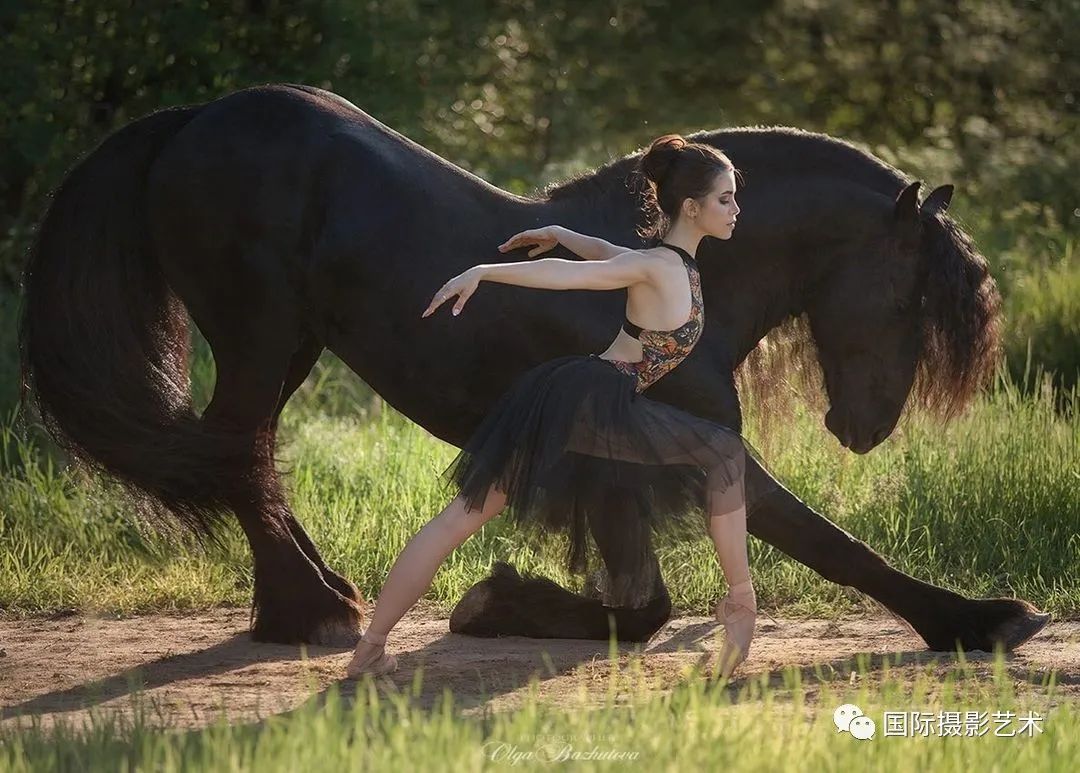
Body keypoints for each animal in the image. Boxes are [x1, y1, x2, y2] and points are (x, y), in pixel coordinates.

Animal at [16, 83, 1045, 652]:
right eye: (910, 298)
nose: (864, 430)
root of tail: (191, 120)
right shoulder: (673, 448)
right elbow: (812, 545)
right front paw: (983, 621)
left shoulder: (624, 467)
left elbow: (655, 600)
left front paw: (494, 599)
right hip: (259, 335)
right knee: (239, 452)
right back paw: (310, 611)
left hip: (285, 346)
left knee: (249, 454)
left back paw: (322, 596)